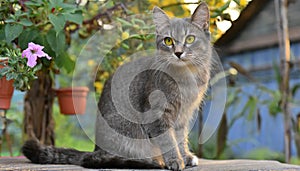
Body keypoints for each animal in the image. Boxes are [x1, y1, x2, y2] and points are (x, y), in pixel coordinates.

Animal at [21, 3, 211, 171]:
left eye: (190, 39)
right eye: (168, 40)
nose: (178, 53)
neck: (185, 77)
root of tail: (95, 150)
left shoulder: (184, 115)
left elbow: (180, 138)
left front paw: (185, 156)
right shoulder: (158, 114)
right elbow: (168, 140)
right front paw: (175, 160)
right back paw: (151, 161)